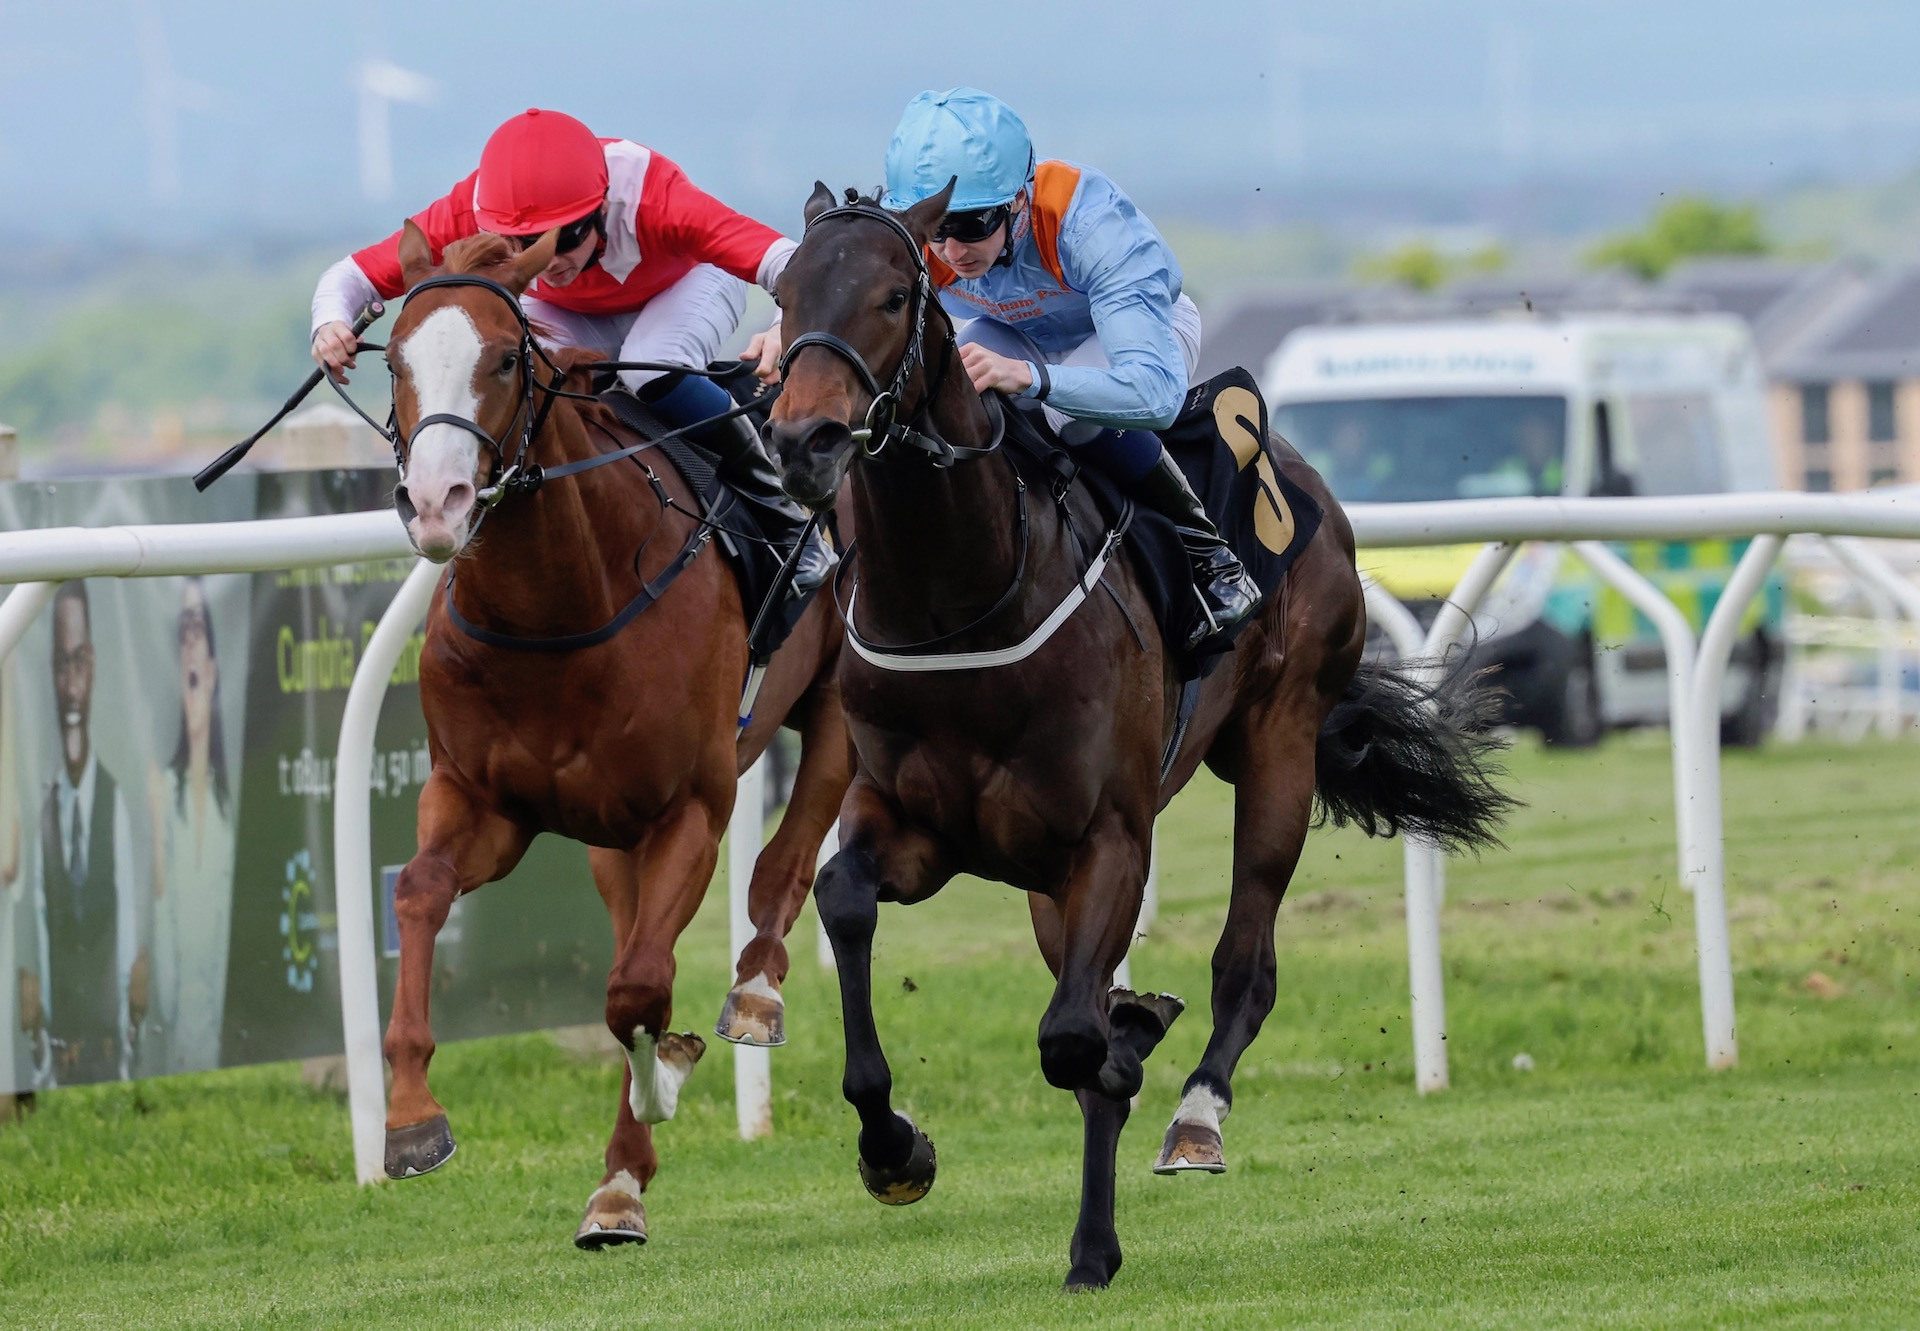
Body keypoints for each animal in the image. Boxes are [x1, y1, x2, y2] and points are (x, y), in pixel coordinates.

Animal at [378, 222, 852, 1252]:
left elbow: (637, 988)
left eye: (504, 358)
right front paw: (410, 1116)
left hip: (839, 699)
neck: (557, 604)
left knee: (788, 860)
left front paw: (663, 1079)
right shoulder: (479, 799)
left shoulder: (692, 807)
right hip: (608, 832)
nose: (437, 502)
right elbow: (420, 892)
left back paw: (751, 998)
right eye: (393, 358)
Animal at [764, 187, 1512, 1290]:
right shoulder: (910, 821)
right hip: (1044, 876)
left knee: (1245, 961)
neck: (963, 600)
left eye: (897, 295)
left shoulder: (1109, 837)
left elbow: (1077, 1038)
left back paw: (1193, 1116)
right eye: (784, 294)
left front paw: (1132, 1037)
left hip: (1280, 745)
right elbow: (847, 902)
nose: (804, 438)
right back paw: (1092, 1243)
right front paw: (894, 1147)